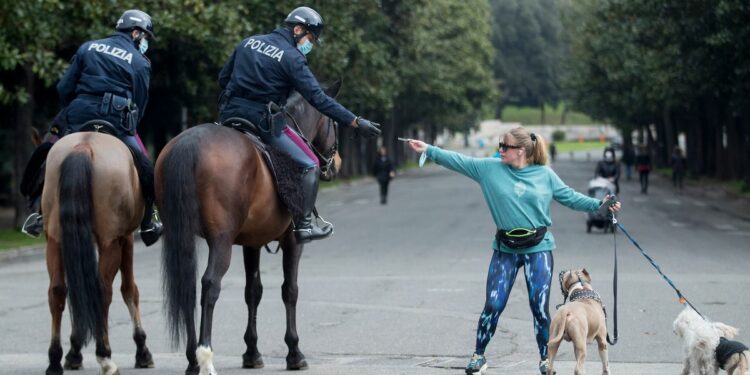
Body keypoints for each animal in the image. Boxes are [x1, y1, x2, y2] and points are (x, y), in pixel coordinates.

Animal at [41, 132, 154, 375]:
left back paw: (54, 360)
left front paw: (74, 352)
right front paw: (142, 350)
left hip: (55, 239)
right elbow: (130, 290)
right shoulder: (125, 238)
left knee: (58, 291)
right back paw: (105, 356)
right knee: (102, 290)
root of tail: (84, 146)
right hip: (110, 242)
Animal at [159, 81, 346, 374]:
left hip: (183, 236)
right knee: (210, 285)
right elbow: (289, 290)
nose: (336, 164)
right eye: (333, 122)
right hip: (221, 241)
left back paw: (191, 359)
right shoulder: (293, 243)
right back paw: (205, 355)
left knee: (187, 287)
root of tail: (189, 144)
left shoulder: (251, 242)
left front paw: (252, 352)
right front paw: (294, 352)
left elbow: (253, 291)